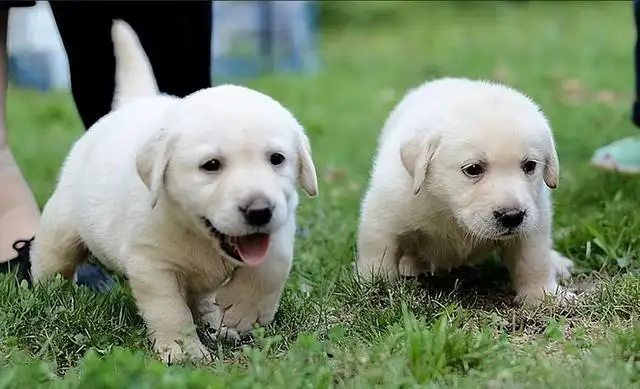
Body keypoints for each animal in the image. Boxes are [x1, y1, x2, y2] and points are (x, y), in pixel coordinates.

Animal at [30, 20, 320, 360]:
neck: (196, 232)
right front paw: (184, 352)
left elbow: (274, 263)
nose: (260, 211)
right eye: (211, 165)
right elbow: (170, 310)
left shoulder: (283, 220)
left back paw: (215, 319)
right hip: (62, 226)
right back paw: (45, 296)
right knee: (52, 258)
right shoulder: (152, 264)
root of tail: (134, 103)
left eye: (277, 159)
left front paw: (243, 309)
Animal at [358, 77, 572, 304]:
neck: (447, 207)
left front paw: (544, 295)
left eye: (530, 166)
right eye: (473, 169)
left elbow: (533, 259)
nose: (512, 216)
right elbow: (378, 259)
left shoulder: (536, 216)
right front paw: (376, 292)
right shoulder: (383, 216)